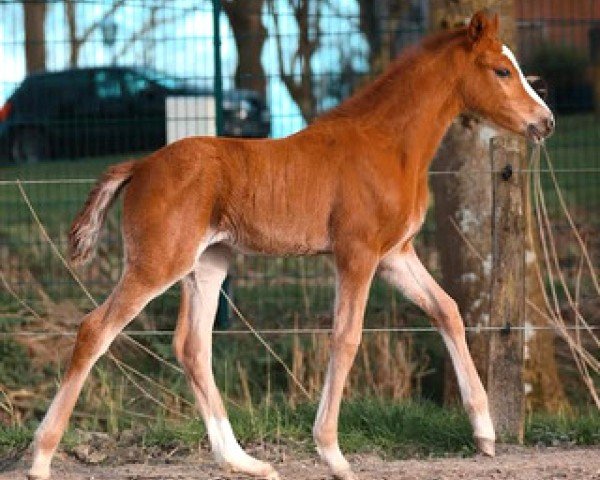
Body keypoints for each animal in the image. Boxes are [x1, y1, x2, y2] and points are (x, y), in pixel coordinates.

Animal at [28, 10, 552, 480]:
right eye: (502, 70)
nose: (544, 122)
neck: (387, 143)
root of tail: (139, 165)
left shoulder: (394, 256)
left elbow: (448, 310)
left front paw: (485, 432)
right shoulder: (357, 255)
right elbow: (346, 337)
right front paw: (333, 455)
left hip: (208, 264)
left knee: (192, 347)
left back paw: (243, 462)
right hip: (158, 262)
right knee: (96, 330)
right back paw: (40, 459)